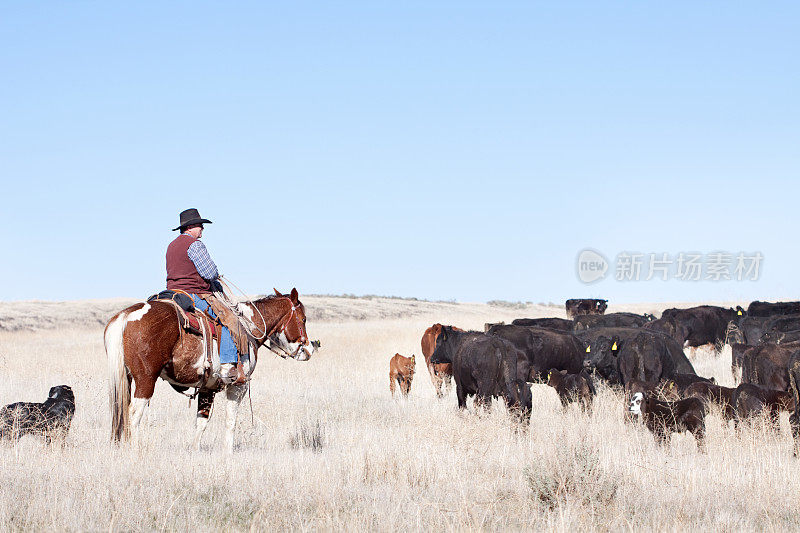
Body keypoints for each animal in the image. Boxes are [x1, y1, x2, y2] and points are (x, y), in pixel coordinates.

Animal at [103, 286, 310, 448]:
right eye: (304, 319)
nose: (308, 349)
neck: (248, 327)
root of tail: (125, 316)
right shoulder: (238, 387)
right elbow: (230, 422)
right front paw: (228, 454)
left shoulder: (207, 387)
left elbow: (201, 422)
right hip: (146, 380)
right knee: (134, 413)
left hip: (127, 379)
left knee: (121, 412)